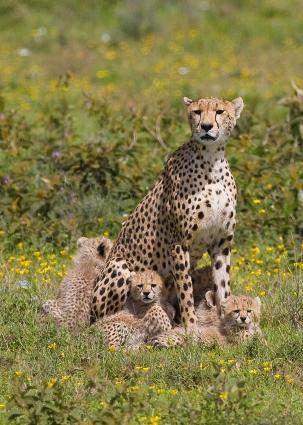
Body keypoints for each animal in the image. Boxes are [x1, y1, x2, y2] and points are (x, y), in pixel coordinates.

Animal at [92, 95, 245, 328]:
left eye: (219, 111)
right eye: (197, 112)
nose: (206, 126)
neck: (212, 162)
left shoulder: (222, 243)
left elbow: (223, 287)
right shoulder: (179, 244)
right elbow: (186, 291)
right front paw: (191, 327)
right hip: (120, 267)